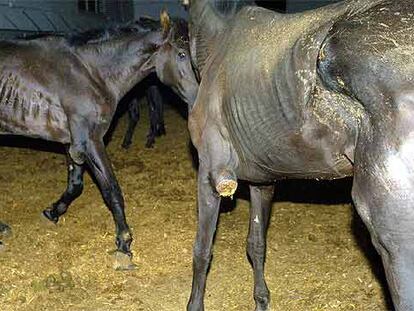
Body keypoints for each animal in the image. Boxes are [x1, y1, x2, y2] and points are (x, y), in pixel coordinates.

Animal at [0, 9, 199, 268]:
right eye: (181, 54)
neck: (90, 73)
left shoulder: (73, 142)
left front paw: (53, 212)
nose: (199, 97)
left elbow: (75, 185)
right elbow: (111, 189)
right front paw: (124, 243)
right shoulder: (90, 141)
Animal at [188, 0, 414, 311]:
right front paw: (261, 300)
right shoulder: (262, 182)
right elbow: (256, 244)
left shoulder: (209, 176)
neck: (218, 42)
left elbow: (202, 251)